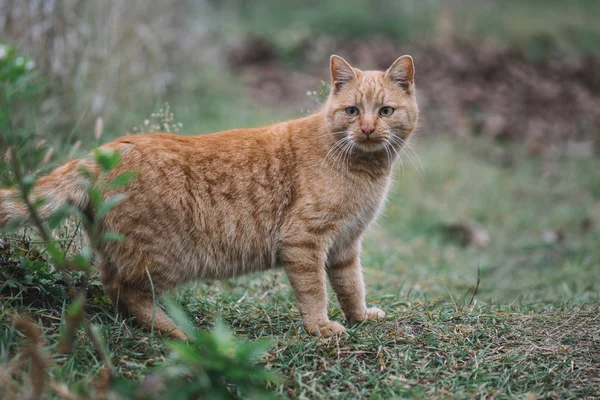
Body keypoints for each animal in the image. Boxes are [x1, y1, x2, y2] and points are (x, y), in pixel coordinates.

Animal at [1, 54, 418, 340]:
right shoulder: (305, 240)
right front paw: (320, 327)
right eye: (351, 111)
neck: (365, 169)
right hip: (165, 257)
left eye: (385, 111)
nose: (367, 129)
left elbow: (351, 286)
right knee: (122, 289)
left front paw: (360, 317)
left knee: (111, 286)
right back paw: (175, 330)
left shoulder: (346, 244)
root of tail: (100, 153)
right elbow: (315, 291)